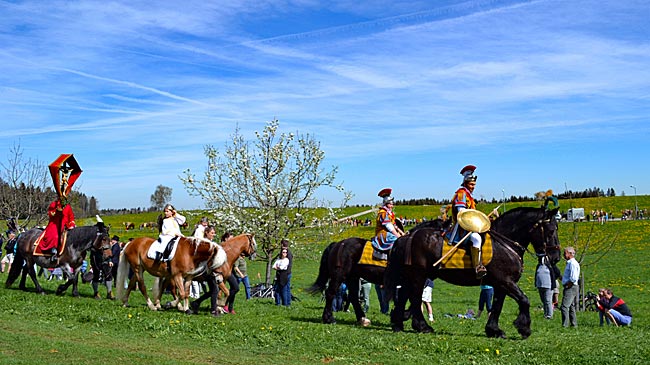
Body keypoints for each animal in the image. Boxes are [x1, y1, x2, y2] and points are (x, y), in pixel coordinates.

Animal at [308, 218, 440, 326]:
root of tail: (338, 244)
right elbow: (414, 299)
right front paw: (402, 316)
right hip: (339, 275)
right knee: (330, 293)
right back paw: (329, 318)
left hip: (353, 278)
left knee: (353, 297)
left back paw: (362, 319)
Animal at [382, 206, 560, 336]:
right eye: (551, 231)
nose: (556, 257)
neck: (505, 243)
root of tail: (408, 236)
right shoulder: (505, 281)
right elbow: (524, 300)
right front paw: (524, 328)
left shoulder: (502, 284)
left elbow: (497, 306)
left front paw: (493, 330)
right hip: (418, 276)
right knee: (415, 298)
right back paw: (422, 326)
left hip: (412, 276)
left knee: (404, 295)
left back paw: (398, 323)